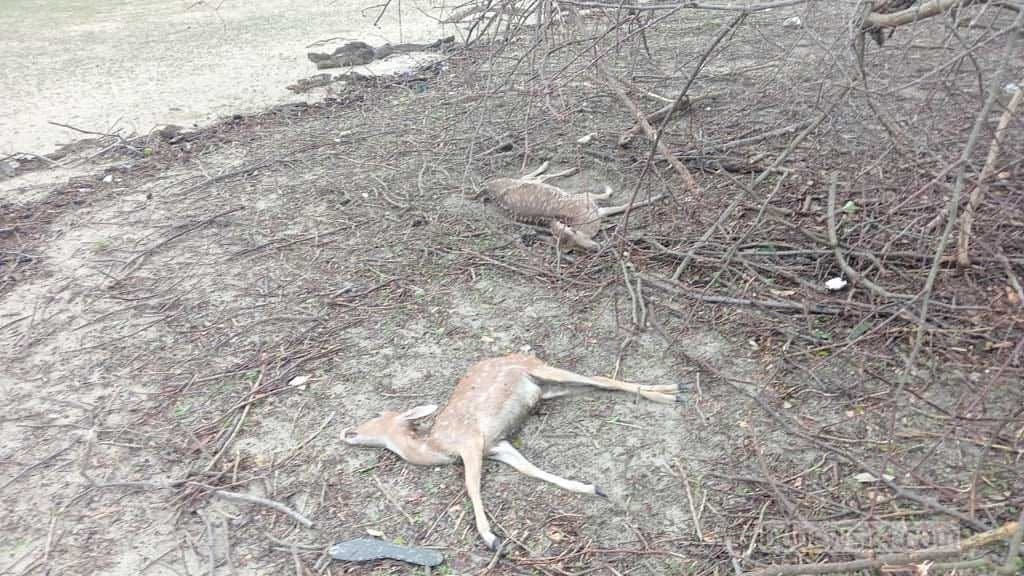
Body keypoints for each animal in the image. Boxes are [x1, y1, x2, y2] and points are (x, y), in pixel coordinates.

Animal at [341, 353, 680, 550]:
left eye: (379, 415)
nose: (348, 432)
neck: (436, 445)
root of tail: (523, 353)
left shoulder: (471, 443)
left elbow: (472, 486)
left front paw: (491, 539)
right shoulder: (497, 446)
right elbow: (529, 469)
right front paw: (591, 488)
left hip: (545, 371)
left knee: (599, 378)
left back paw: (672, 395)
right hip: (547, 389)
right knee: (599, 384)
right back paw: (672, 390)